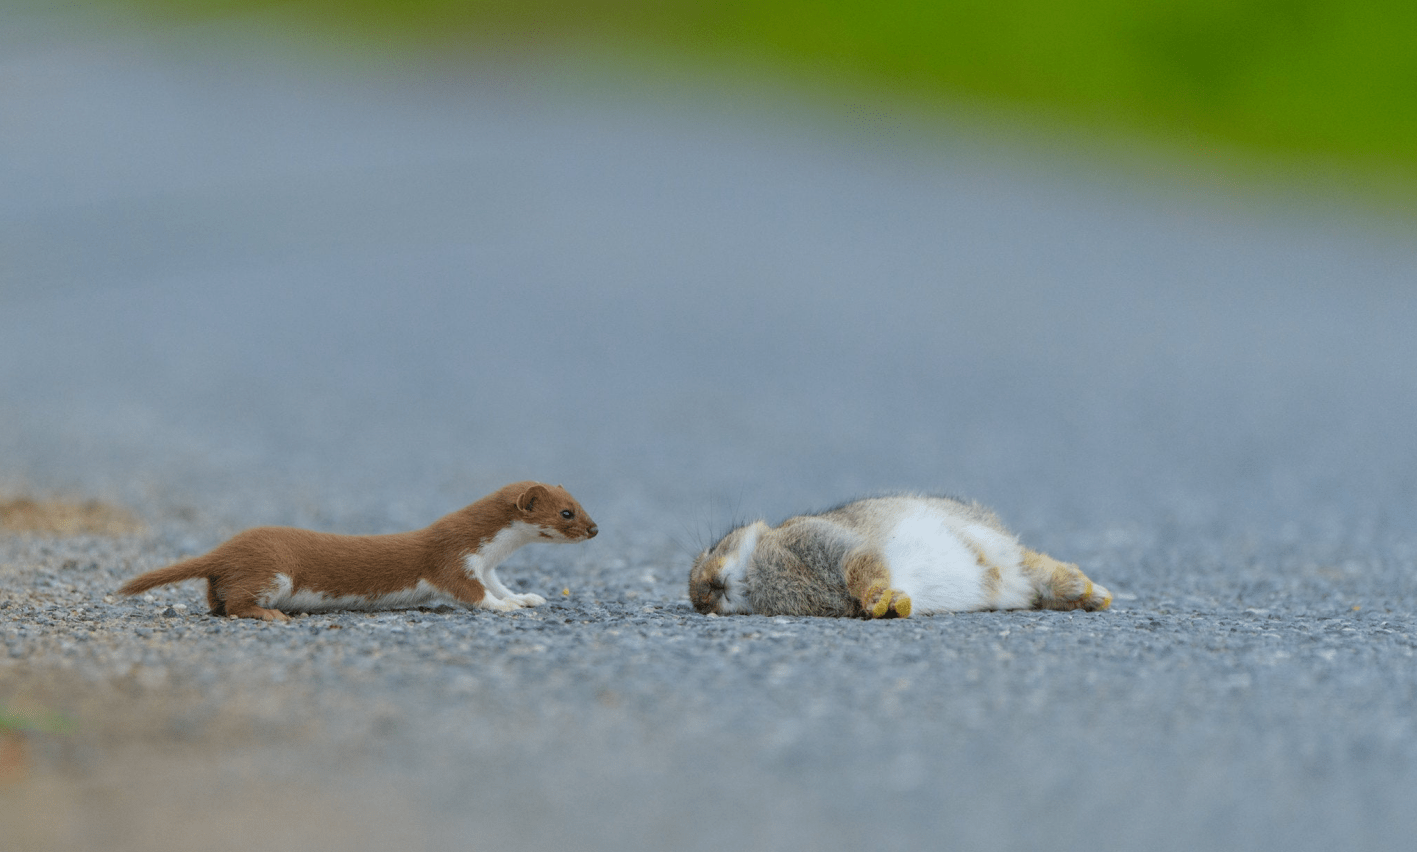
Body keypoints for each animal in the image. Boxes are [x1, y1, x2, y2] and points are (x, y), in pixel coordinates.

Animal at [114, 481, 592, 620]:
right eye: (566, 512)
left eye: (581, 502)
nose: (596, 528)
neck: (492, 549)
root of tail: (225, 549)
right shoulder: (453, 559)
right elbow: (471, 593)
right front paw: (505, 608)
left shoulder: (487, 566)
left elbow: (500, 585)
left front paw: (525, 597)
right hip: (273, 569)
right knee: (233, 603)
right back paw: (273, 615)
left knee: (216, 598)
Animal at [691, 490, 1110, 618]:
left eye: (713, 547)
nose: (701, 594)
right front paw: (893, 606)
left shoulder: (829, 544)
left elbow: (863, 568)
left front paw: (884, 602)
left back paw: (1092, 592)